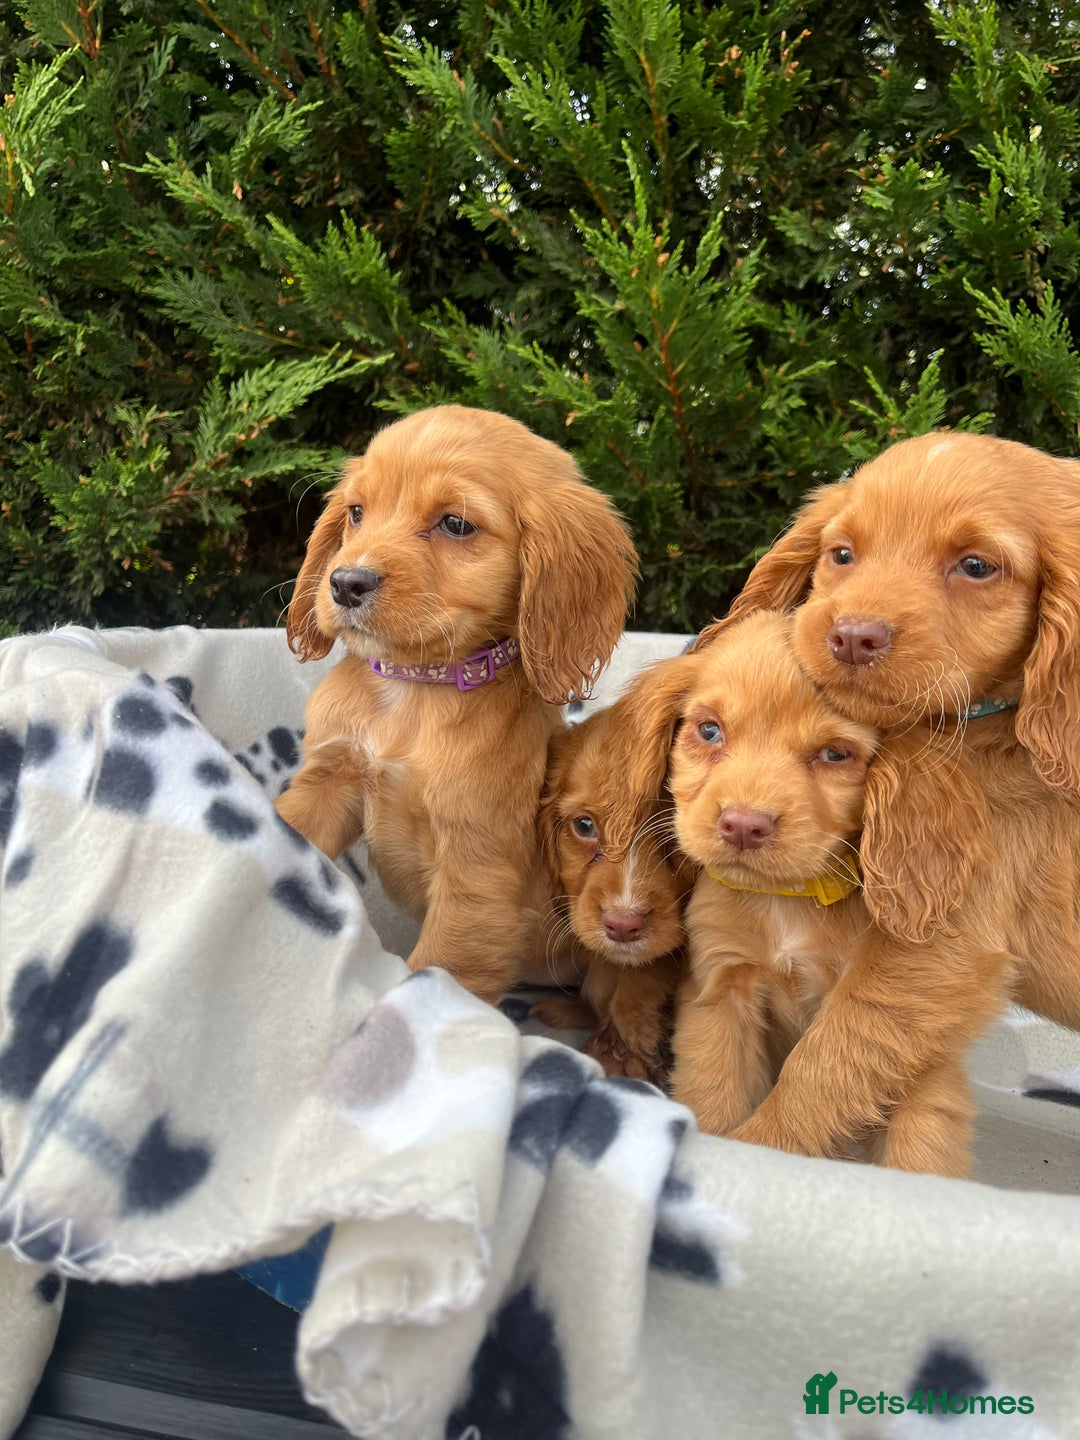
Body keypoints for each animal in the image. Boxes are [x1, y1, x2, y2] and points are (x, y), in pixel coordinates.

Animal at [276, 405, 637, 1003]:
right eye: (356, 513)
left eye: (456, 524)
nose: (345, 582)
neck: (414, 694)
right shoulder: (329, 781)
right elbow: (288, 827)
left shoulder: (476, 872)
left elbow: (437, 973)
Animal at [613, 610, 991, 1175]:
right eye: (709, 730)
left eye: (835, 754)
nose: (743, 825)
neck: (789, 898)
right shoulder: (722, 992)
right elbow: (716, 1096)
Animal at [714, 429, 1079, 1159]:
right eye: (842, 554)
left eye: (975, 566)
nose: (852, 636)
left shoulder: (937, 944)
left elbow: (830, 1056)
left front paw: (756, 1145)